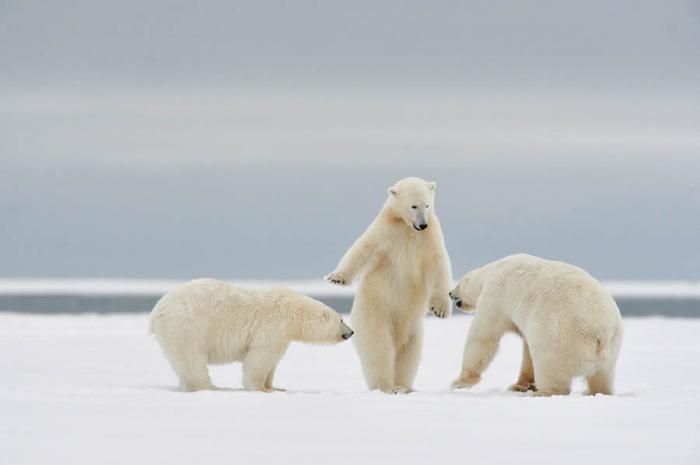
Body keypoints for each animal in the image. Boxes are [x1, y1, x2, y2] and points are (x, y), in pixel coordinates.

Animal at [150, 280, 352, 392]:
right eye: (342, 319)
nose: (351, 332)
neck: (293, 311)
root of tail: (156, 312)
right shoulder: (273, 326)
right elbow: (261, 357)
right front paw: (261, 388)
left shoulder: (283, 334)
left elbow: (273, 362)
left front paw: (275, 387)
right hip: (187, 326)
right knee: (192, 360)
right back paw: (213, 387)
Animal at [326, 177, 452, 392]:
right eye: (413, 205)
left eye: (427, 205)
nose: (423, 224)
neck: (408, 228)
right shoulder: (387, 232)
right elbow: (363, 248)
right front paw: (337, 278)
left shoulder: (430, 238)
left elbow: (439, 265)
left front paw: (440, 309)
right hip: (375, 314)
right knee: (378, 348)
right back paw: (386, 387)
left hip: (414, 329)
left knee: (409, 356)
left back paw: (403, 387)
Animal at [452, 254, 620, 396]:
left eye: (458, 284)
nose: (450, 293)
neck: (494, 269)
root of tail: (601, 333)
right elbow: (527, 350)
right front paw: (520, 385)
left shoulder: (495, 296)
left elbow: (483, 336)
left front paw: (459, 382)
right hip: (611, 349)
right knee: (602, 376)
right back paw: (595, 391)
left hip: (560, 336)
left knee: (549, 366)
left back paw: (544, 392)